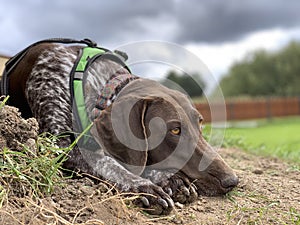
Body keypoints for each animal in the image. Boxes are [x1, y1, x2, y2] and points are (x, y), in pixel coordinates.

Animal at [1, 39, 238, 215]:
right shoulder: (61, 149)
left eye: (199, 123)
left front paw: (171, 180)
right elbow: (107, 162)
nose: (232, 181)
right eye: (175, 130)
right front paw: (144, 187)